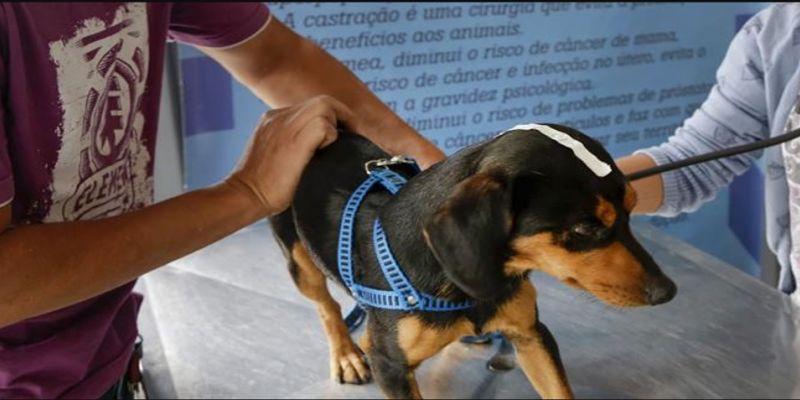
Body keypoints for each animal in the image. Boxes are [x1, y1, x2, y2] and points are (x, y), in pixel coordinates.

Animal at [268, 123, 677, 399]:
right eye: (585, 227)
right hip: (299, 260)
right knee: (326, 306)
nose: (667, 292)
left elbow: (559, 390)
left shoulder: (532, 334)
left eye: (632, 208)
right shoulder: (390, 364)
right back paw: (346, 355)